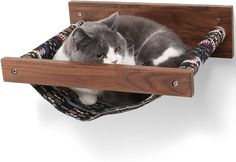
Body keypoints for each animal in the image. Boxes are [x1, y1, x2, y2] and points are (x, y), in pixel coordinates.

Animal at [52, 12, 189, 106]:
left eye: (117, 49)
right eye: (99, 55)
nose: (115, 61)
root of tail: (184, 50)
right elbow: (86, 96)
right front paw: (88, 98)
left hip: (154, 46)